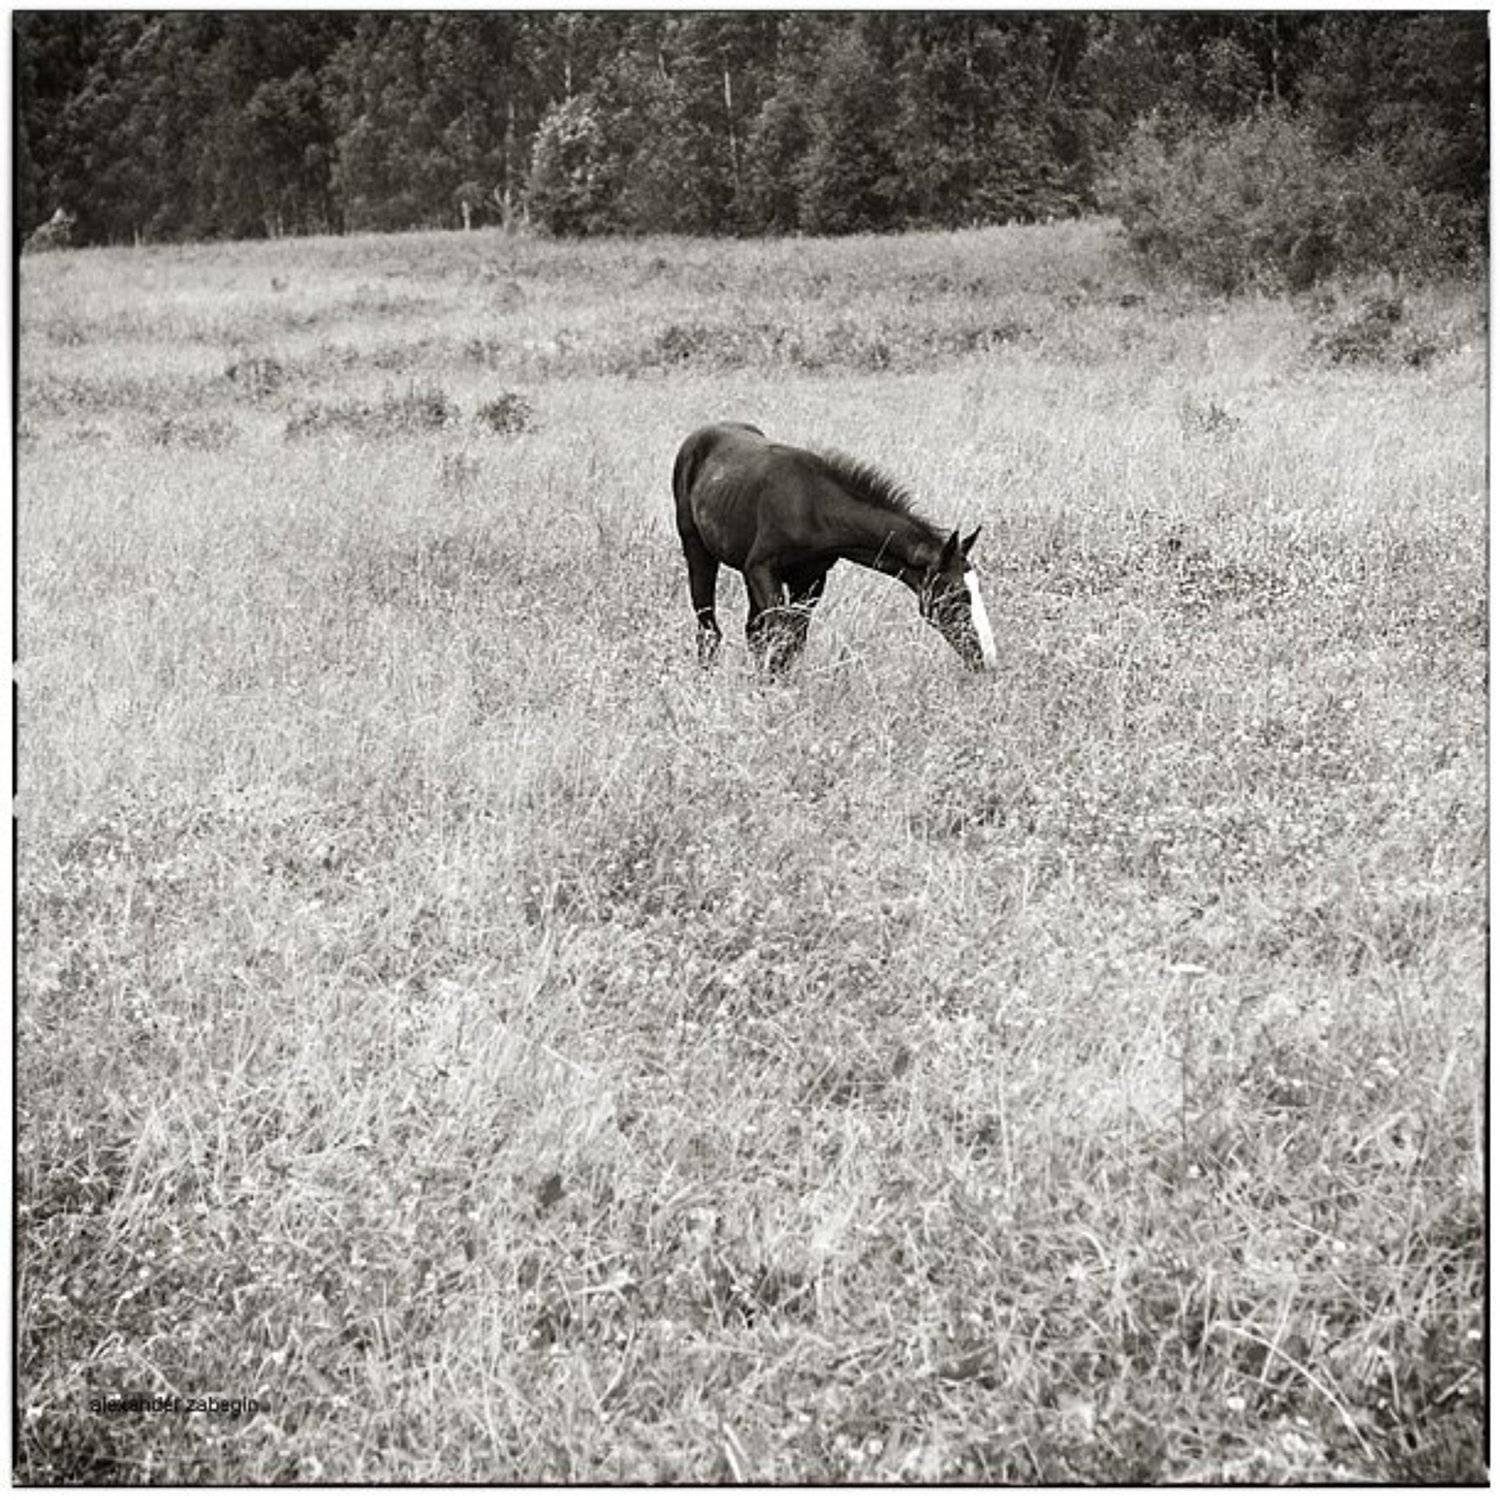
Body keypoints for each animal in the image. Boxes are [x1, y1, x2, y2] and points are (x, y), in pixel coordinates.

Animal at [673, 422, 997, 673]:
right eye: (957, 595)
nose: (987, 659)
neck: (812, 505)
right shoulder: (762, 569)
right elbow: (780, 638)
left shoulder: (811, 581)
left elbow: (791, 641)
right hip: (698, 551)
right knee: (708, 628)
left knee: (751, 631)